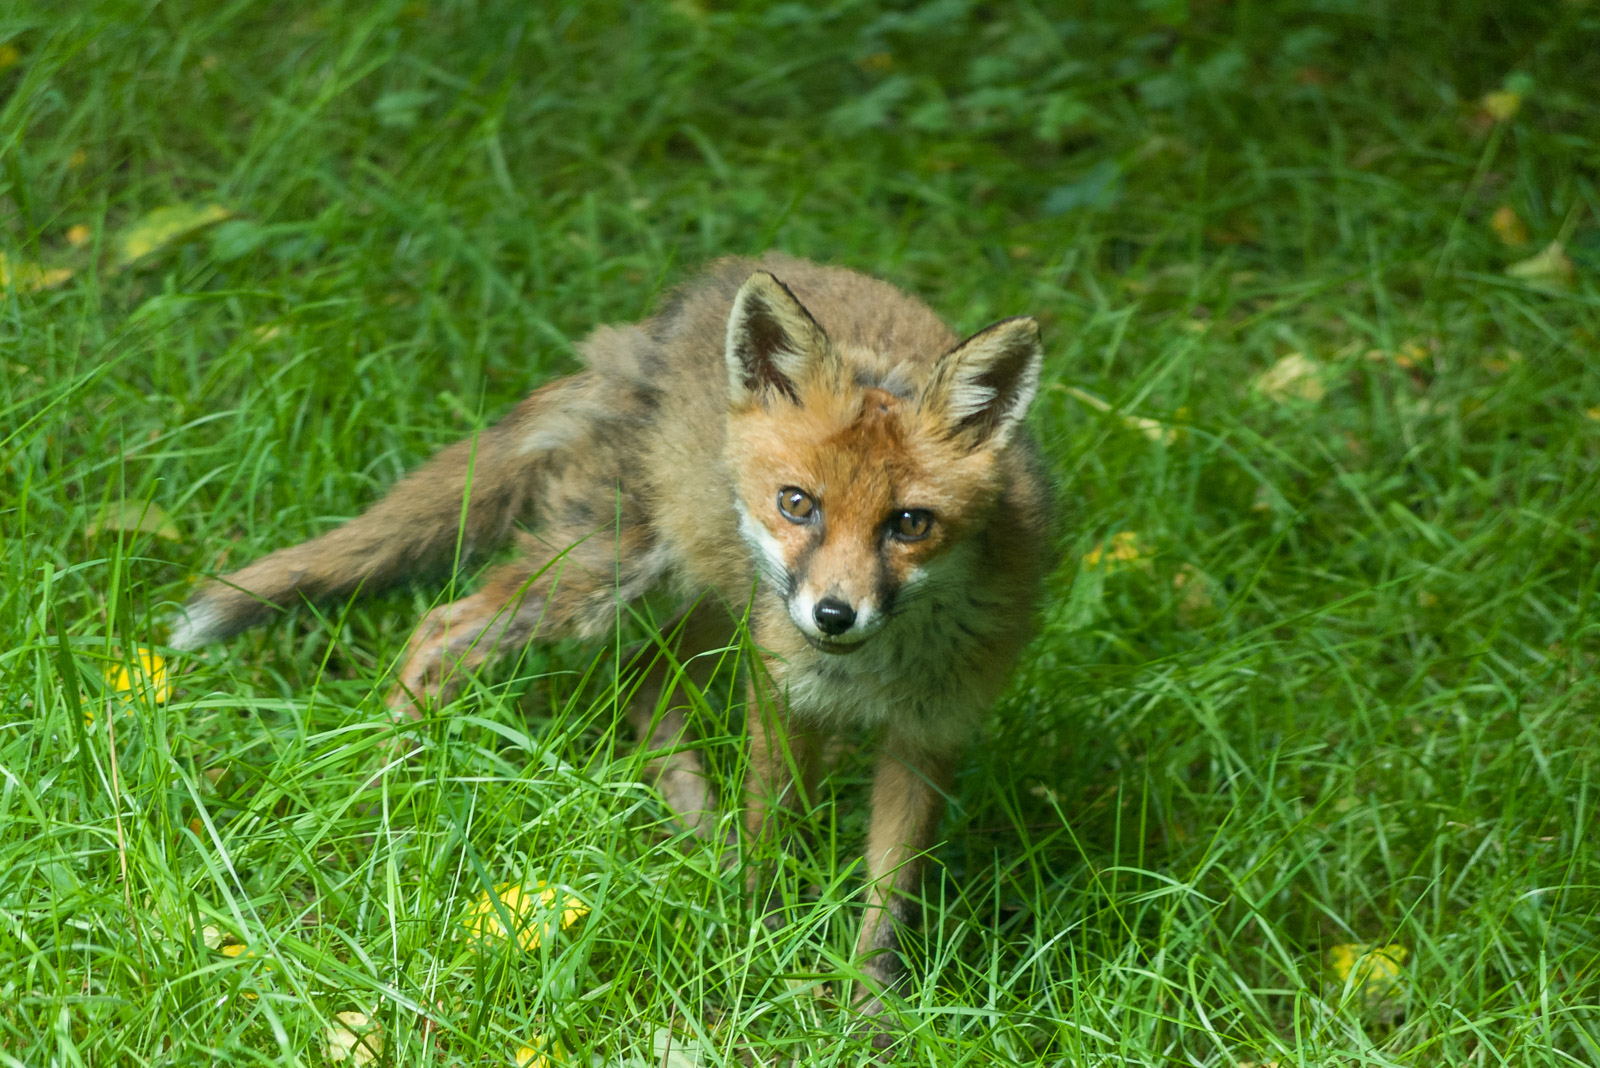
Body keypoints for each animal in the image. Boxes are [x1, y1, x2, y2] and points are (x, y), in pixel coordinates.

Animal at [170, 253, 1054, 1033]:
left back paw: (700, 840)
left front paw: (871, 1014)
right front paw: (766, 944)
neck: (877, 670)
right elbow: (778, 835)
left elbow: (886, 902)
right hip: (604, 575)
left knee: (646, 687)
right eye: (798, 503)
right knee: (442, 630)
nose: (834, 615)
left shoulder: (929, 734)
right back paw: (388, 783)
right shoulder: (781, 690)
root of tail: (654, 327)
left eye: (909, 524)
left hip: (708, 597)